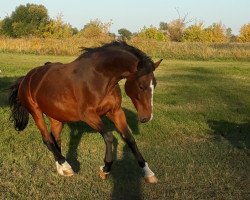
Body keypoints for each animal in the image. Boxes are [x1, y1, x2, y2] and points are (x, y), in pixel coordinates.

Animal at [8, 41, 162, 184]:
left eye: (154, 84)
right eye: (141, 86)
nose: (146, 117)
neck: (100, 77)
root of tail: (26, 78)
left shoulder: (115, 112)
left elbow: (129, 138)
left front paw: (148, 173)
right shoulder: (88, 115)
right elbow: (109, 137)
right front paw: (105, 169)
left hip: (56, 117)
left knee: (55, 139)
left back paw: (61, 169)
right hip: (36, 113)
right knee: (47, 139)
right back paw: (67, 167)